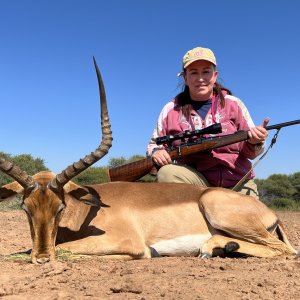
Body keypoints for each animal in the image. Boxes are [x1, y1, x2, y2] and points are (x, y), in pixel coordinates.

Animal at [0, 58, 298, 262]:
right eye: (25, 208)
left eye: (60, 207)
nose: (42, 258)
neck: (85, 211)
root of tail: (269, 213)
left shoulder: (129, 243)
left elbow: (64, 248)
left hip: (217, 207)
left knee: (285, 251)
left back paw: (211, 247)